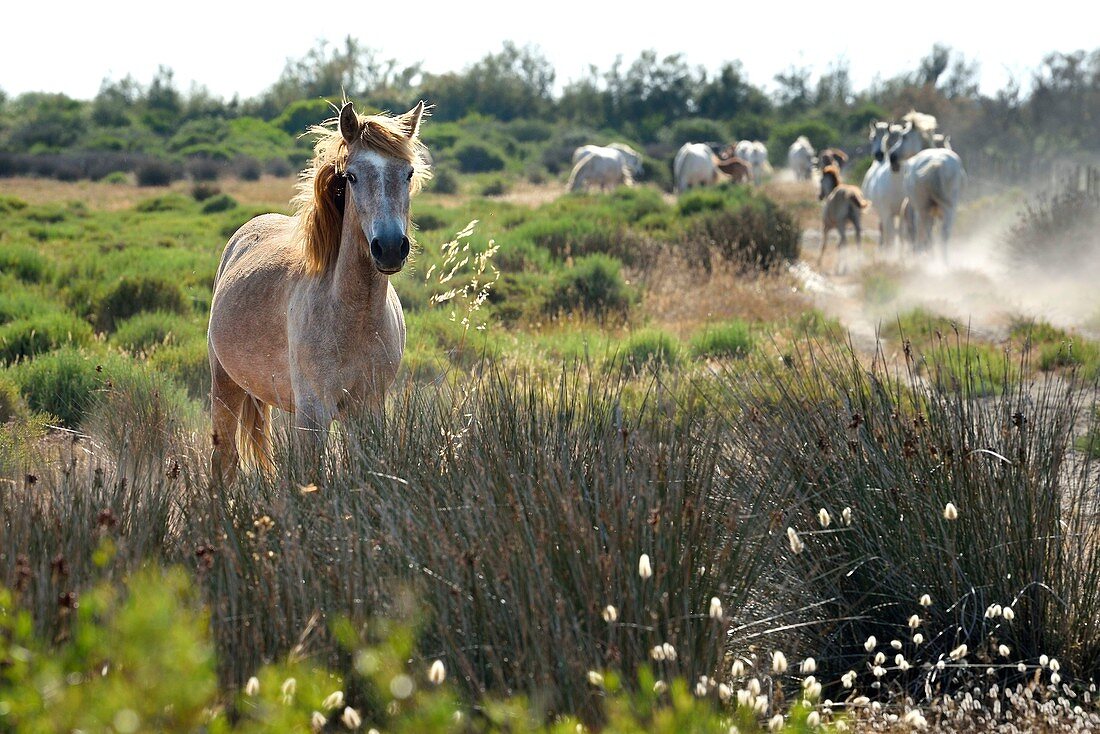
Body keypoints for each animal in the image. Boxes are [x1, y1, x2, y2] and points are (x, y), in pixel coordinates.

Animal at [206, 100, 429, 479]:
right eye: (351, 176)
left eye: (409, 173)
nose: (389, 247)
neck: (354, 317)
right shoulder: (313, 412)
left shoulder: (367, 407)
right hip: (224, 385)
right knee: (224, 462)